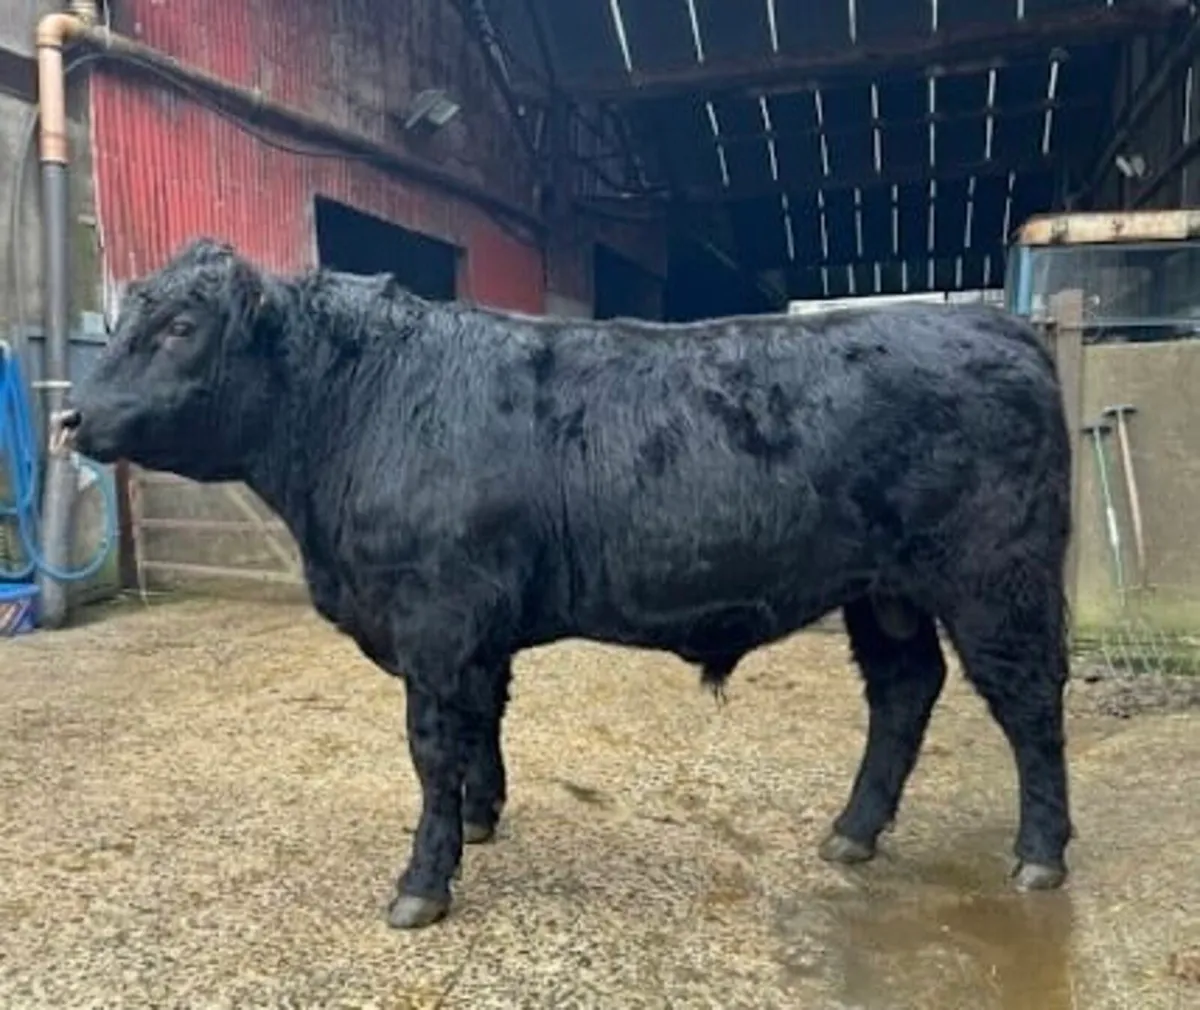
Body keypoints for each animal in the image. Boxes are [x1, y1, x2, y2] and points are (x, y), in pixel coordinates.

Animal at [58, 238, 1074, 930]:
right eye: (126, 319)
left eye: (181, 327)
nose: (70, 416)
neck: (364, 404)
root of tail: (991, 322)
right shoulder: (474, 629)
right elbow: (480, 727)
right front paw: (481, 820)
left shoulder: (435, 618)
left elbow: (432, 747)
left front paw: (422, 883)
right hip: (883, 590)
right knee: (905, 689)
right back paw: (854, 831)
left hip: (997, 578)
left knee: (1030, 704)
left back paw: (1039, 856)